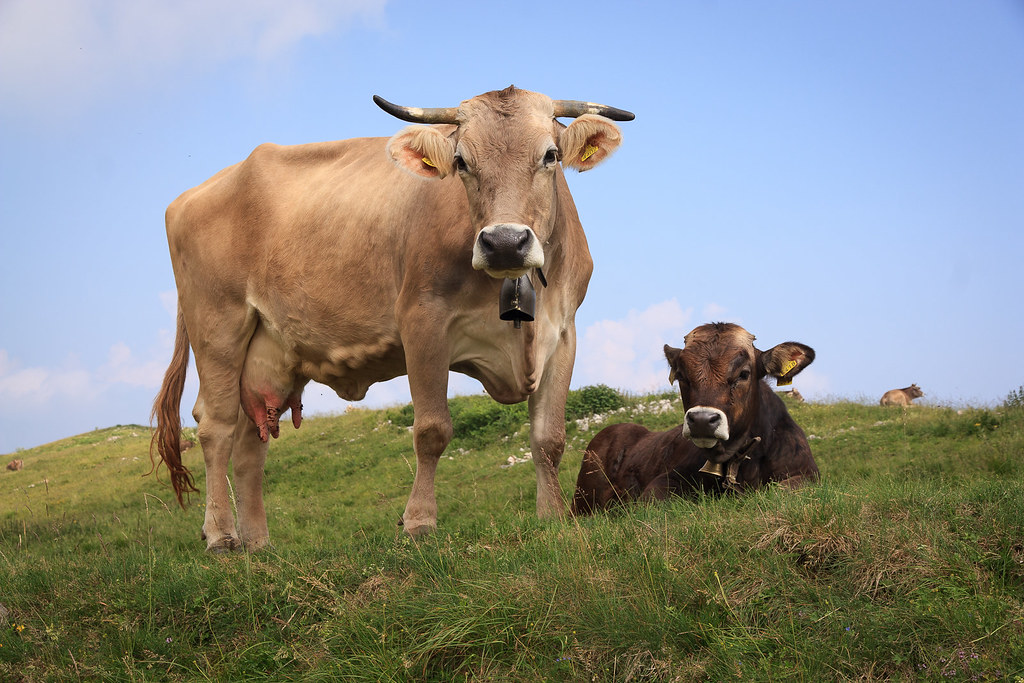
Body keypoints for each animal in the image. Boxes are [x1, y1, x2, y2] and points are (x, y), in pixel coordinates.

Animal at [151, 86, 633, 551]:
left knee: (252, 442)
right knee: (215, 427)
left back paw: (257, 543)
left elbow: (549, 438)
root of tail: (194, 193)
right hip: (217, 325)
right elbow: (432, 430)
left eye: (550, 155)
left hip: (268, 353)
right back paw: (220, 535)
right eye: (461, 161)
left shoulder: (564, 333)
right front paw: (418, 522)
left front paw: (552, 518)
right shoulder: (423, 321)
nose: (504, 243)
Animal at [572, 323, 818, 514]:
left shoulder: (807, 475)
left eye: (744, 374)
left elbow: (784, 490)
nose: (701, 420)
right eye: (681, 375)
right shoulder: (664, 481)